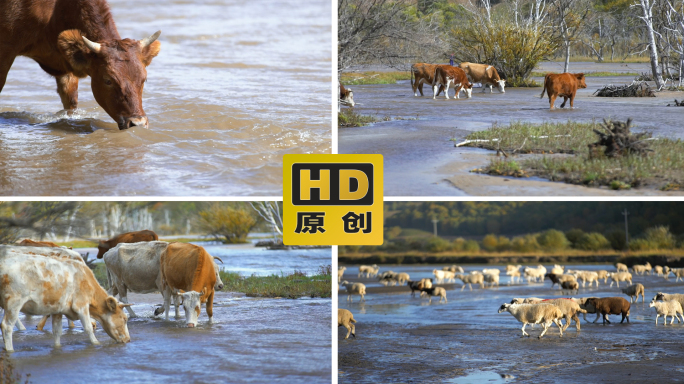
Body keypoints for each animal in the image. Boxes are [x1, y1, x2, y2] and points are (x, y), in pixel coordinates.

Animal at [0, 0, 162, 130]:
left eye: (144, 79)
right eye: (108, 80)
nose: (138, 123)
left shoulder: (66, 67)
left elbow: (70, 101)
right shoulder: (6, 49)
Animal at [0, 246, 130, 352]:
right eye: (124, 319)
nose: (128, 340)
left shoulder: (57, 309)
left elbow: (57, 332)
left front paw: (57, 347)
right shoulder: (81, 305)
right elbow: (88, 327)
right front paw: (96, 343)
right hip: (14, 303)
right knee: (7, 326)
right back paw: (10, 350)